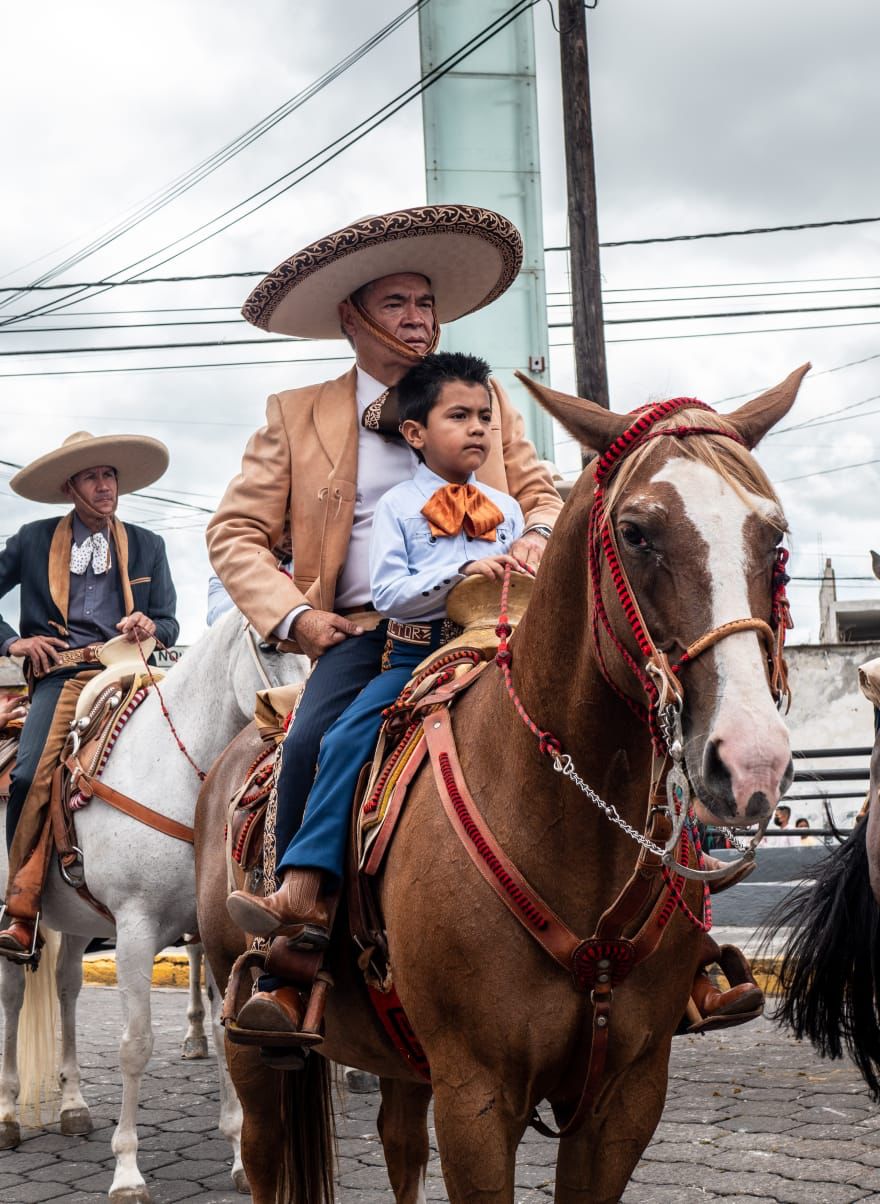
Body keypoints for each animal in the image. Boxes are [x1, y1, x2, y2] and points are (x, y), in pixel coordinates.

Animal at [0, 616, 310, 1199]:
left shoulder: (212, 931)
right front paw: (126, 1170)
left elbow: (225, 1031)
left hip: (79, 923)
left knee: (67, 987)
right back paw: (8, 1112)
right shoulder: (136, 929)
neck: (178, 777)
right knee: (12, 996)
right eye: (270, 645)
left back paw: (72, 1104)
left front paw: (238, 1153)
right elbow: (135, 1044)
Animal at [196, 366, 808, 1204]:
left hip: (400, 1056)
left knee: (398, 1144)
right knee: (263, 1153)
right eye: (636, 531)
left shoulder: (626, 1098)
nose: (751, 761)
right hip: (251, 1046)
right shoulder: (476, 1099)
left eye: (772, 535)